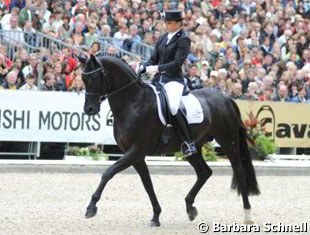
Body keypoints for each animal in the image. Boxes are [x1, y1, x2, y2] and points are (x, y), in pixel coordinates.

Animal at [79, 54, 260, 227]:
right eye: (83, 79)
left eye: (94, 77)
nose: (89, 109)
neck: (134, 103)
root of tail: (226, 98)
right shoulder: (136, 156)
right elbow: (147, 184)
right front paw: (156, 216)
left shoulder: (136, 150)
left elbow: (108, 173)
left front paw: (91, 207)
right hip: (193, 147)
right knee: (204, 172)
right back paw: (190, 208)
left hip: (229, 142)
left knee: (239, 172)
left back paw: (247, 215)